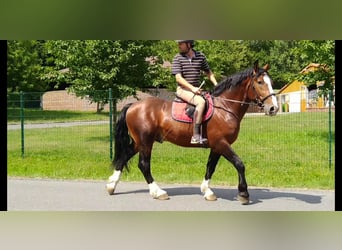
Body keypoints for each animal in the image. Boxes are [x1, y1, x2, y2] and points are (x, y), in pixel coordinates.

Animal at [106, 61, 278, 205]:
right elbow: (239, 164)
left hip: (139, 142)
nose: (273, 108)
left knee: (124, 156)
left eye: (271, 82)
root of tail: (133, 105)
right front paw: (243, 194)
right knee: (143, 164)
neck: (225, 107)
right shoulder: (221, 144)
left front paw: (207, 191)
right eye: (260, 82)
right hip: (145, 142)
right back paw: (158, 191)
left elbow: (210, 167)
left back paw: (111, 185)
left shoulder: (216, 146)